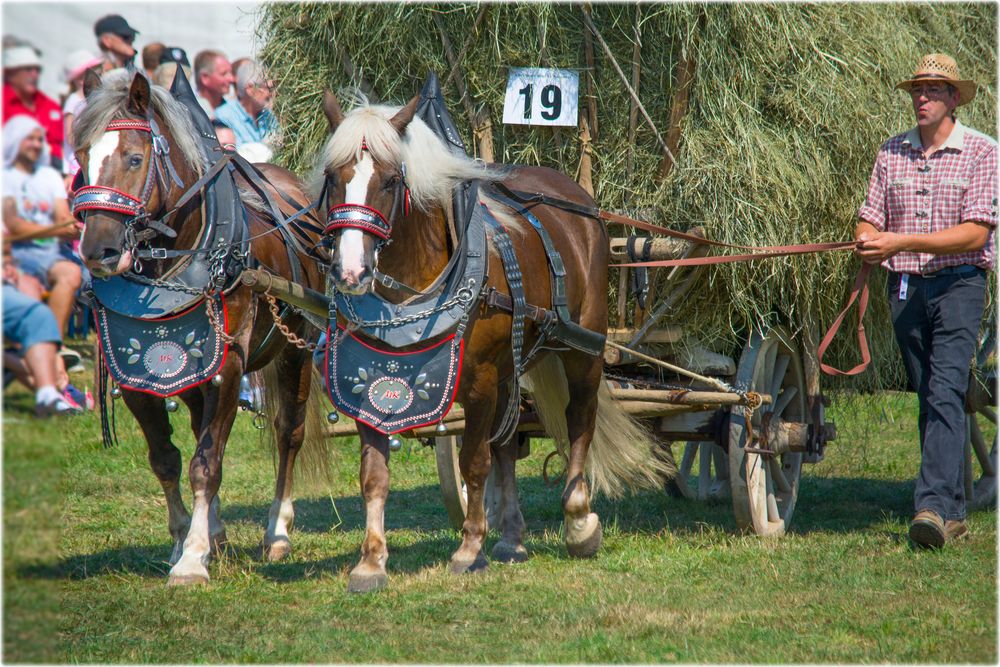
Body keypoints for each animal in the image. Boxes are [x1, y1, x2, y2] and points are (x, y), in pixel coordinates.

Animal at [74, 70, 324, 588]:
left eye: (134, 158)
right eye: (81, 159)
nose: (99, 251)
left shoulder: (228, 367)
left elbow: (206, 464)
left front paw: (191, 560)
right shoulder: (138, 375)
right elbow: (167, 459)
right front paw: (184, 539)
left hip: (300, 348)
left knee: (288, 432)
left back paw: (277, 531)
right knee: (197, 424)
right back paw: (218, 533)